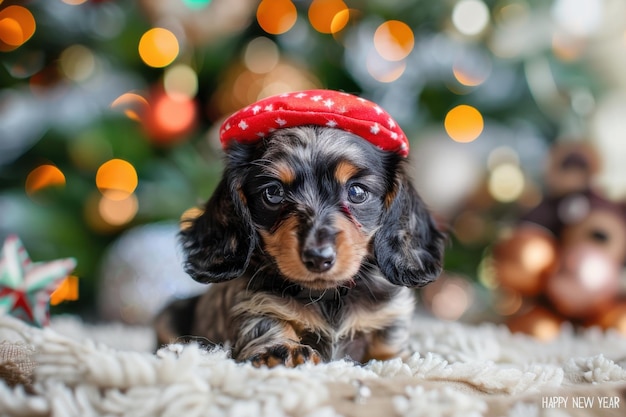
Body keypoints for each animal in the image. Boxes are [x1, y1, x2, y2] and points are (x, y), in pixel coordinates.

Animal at [158, 90, 446, 364]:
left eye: (357, 192)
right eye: (273, 193)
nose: (318, 258)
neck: (328, 295)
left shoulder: (388, 319)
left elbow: (389, 352)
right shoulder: (255, 304)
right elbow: (268, 323)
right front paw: (285, 349)